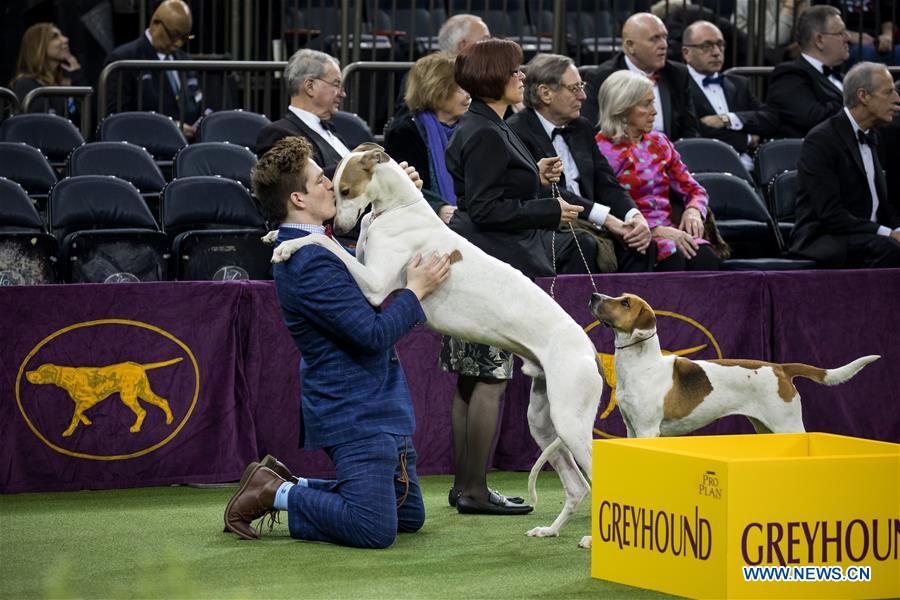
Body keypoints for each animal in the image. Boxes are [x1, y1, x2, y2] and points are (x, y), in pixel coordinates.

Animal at [268, 145, 604, 548]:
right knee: (576, 486)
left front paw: (288, 245)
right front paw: (276, 233)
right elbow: (336, 246)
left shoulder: (375, 286)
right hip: (543, 421)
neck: (398, 208)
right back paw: (550, 530)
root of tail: (589, 348)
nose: (344, 225)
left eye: (345, 191)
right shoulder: (364, 261)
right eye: (331, 190)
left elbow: (323, 242)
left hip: (570, 420)